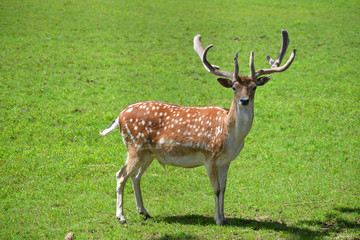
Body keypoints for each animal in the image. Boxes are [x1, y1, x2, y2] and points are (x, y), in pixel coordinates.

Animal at [99, 29, 296, 225]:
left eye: (254, 87)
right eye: (234, 87)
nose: (244, 100)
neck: (229, 135)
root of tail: (120, 116)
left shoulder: (226, 161)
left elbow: (224, 188)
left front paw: (224, 217)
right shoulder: (209, 157)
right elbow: (216, 189)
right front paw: (218, 220)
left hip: (148, 153)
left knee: (135, 175)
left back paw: (144, 211)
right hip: (135, 147)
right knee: (121, 174)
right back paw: (121, 216)